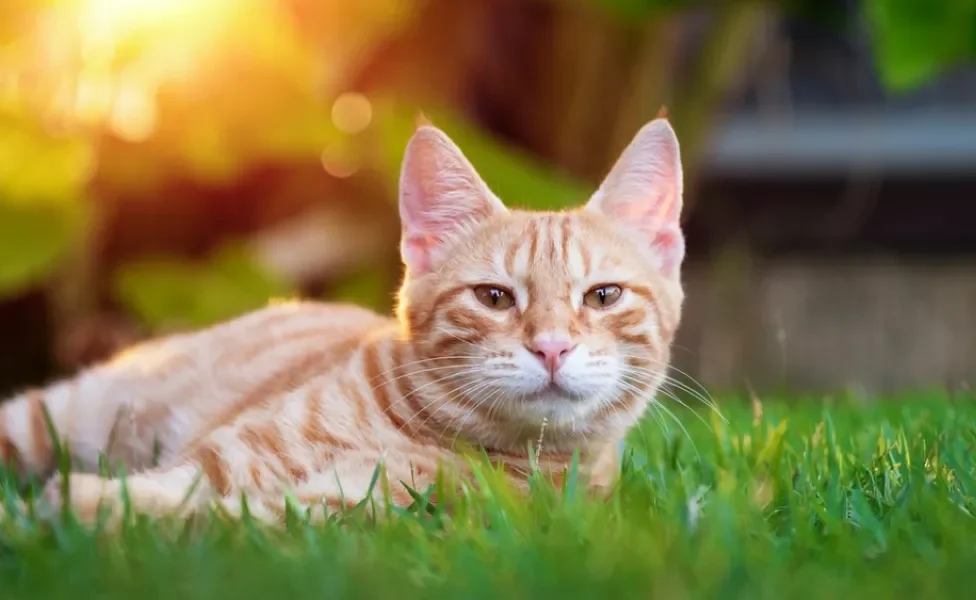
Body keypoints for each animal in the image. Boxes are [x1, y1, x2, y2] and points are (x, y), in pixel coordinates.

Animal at [0, 113, 688, 524]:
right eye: (494, 298)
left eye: (602, 296)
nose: (550, 348)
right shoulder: (228, 457)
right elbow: (182, 485)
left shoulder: (349, 512)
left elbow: (216, 515)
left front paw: (79, 509)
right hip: (63, 415)